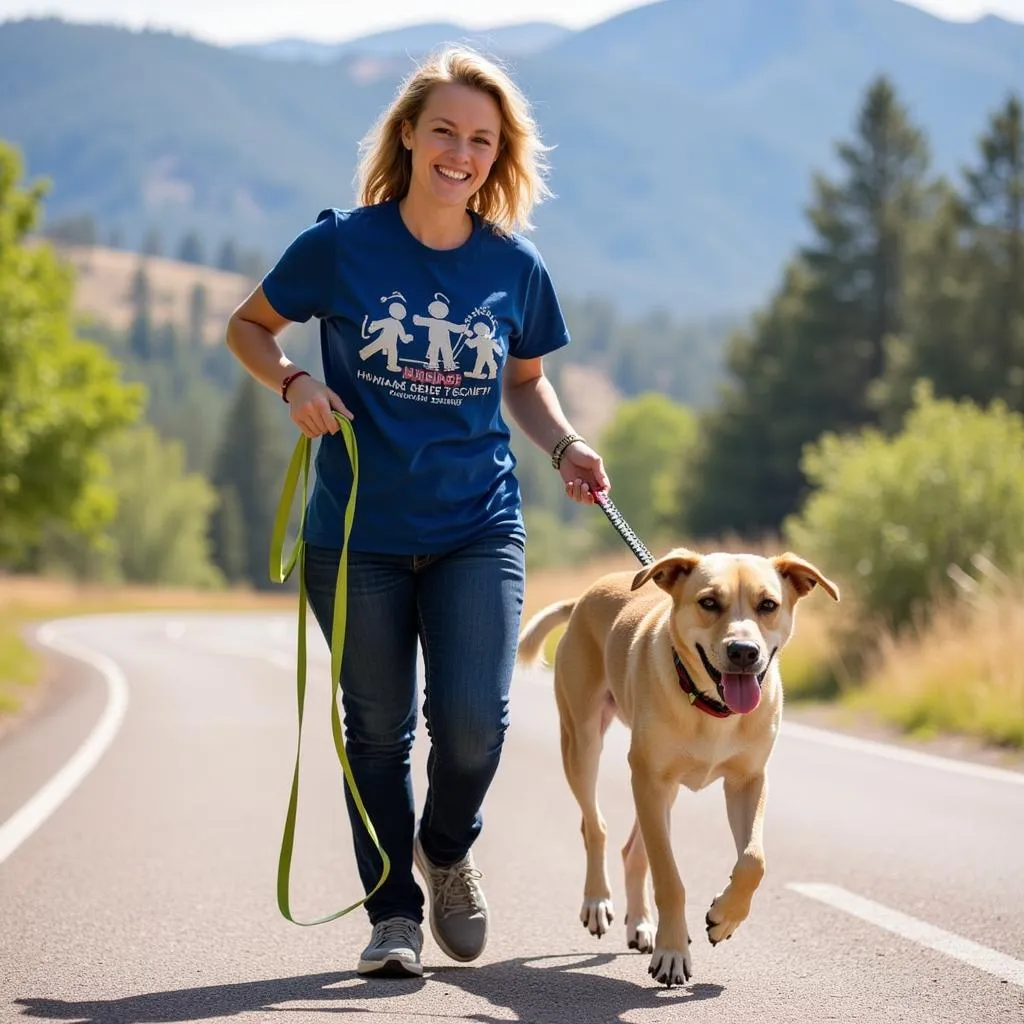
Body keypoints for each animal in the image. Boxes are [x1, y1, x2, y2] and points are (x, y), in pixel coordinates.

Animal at [516, 548, 835, 987]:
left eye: (767, 605)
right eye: (709, 602)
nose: (743, 651)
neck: (712, 707)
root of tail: (582, 599)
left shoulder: (747, 782)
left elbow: (754, 861)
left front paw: (724, 918)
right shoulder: (650, 779)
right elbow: (669, 878)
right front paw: (672, 953)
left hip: (661, 790)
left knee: (634, 849)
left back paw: (641, 924)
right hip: (584, 744)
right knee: (594, 825)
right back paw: (598, 902)